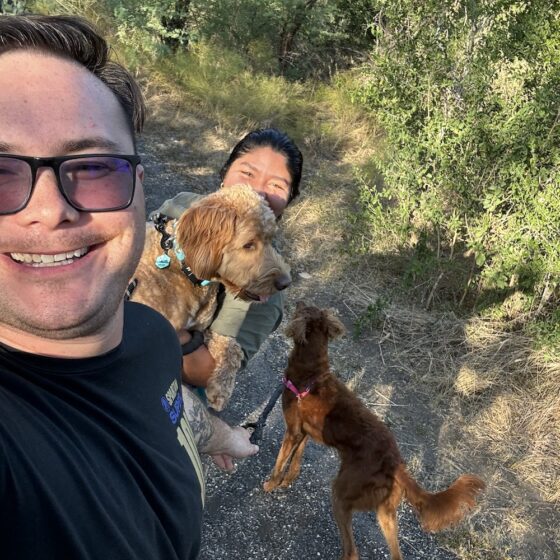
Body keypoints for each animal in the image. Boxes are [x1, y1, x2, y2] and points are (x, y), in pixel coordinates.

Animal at [130, 186, 290, 410]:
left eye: (270, 239)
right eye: (249, 244)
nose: (286, 282)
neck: (184, 270)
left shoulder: (200, 330)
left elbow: (230, 346)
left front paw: (220, 388)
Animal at [264, 302, 484, 560]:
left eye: (304, 307)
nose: (296, 302)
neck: (312, 373)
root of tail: (396, 462)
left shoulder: (292, 431)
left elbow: (280, 461)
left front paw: (271, 484)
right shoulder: (304, 432)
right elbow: (295, 461)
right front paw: (287, 481)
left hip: (342, 494)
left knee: (352, 551)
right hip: (385, 512)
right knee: (395, 554)